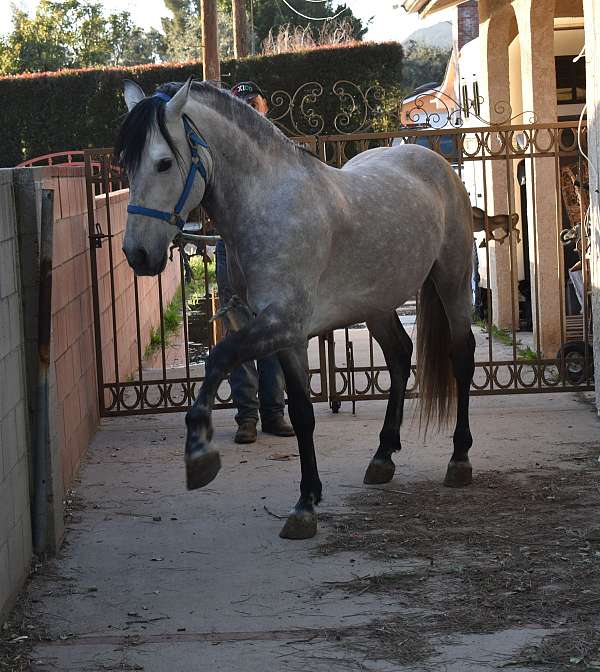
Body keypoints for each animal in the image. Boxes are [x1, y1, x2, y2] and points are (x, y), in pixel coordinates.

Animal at [116, 80, 474, 540]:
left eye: (162, 163)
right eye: (127, 165)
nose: (137, 254)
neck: (270, 206)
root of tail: (433, 159)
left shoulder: (282, 325)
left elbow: (218, 358)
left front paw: (200, 454)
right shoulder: (279, 334)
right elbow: (302, 413)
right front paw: (308, 501)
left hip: (452, 282)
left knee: (461, 357)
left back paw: (459, 459)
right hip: (376, 303)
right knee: (399, 356)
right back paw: (383, 456)